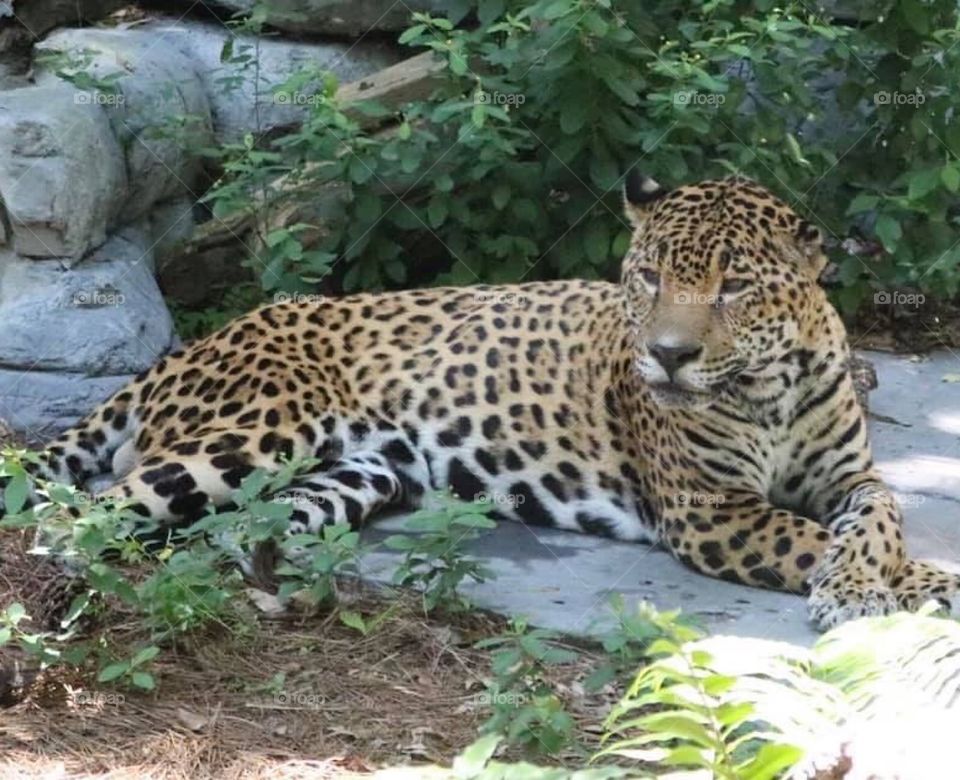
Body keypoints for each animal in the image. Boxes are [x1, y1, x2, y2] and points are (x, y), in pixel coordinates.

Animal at [5, 172, 957, 630]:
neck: (771, 387)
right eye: (649, 276)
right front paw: (897, 588)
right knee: (86, 510)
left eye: (734, 288)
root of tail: (194, 346)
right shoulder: (707, 510)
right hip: (251, 435)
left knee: (233, 529)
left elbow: (877, 519)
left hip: (355, 475)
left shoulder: (852, 477)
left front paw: (880, 578)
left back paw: (280, 589)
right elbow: (813, 541)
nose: (668, 357)